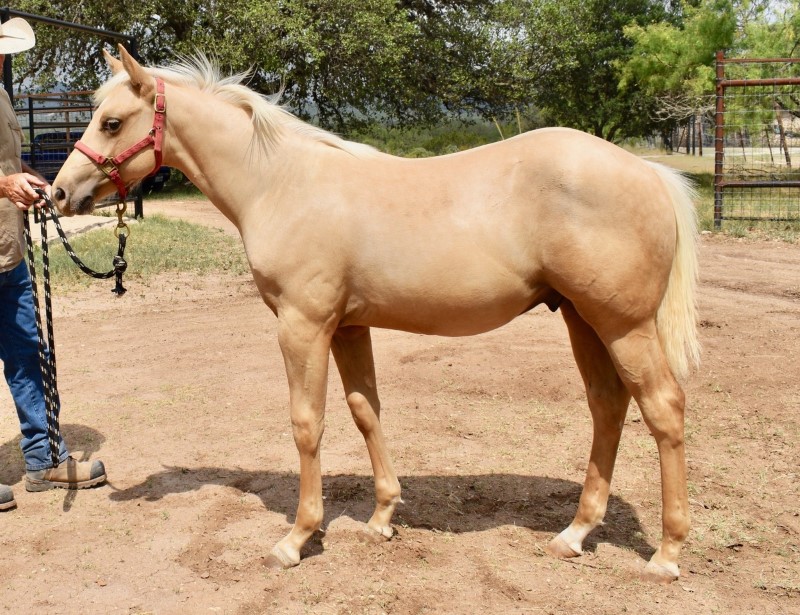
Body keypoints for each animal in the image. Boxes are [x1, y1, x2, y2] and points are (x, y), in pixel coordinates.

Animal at [53, 47, 696, 584]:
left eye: (112, 122)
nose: (58, 194)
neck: (280, 184)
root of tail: (648, 171)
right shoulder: (348, 326)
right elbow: (366, 410)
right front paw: (382, 517)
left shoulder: (303, 326)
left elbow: (307, 423)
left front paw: (298, 538)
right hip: (582, 319)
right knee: (608, 407)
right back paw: (576, 533)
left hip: (622, 326)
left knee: (662, 409)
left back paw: (666, 554)